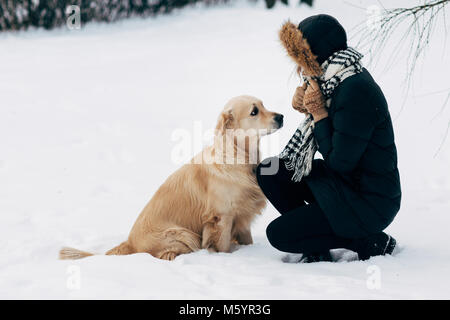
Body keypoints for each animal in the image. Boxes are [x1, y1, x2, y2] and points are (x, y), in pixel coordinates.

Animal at [58, 95, 284, 260]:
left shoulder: (243, 217)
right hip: (181, 233)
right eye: (254, 111)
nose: (281, 116)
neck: (238, 156)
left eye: (264, 104)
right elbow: (223, 245)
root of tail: (130, 243)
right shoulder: (222, 217)